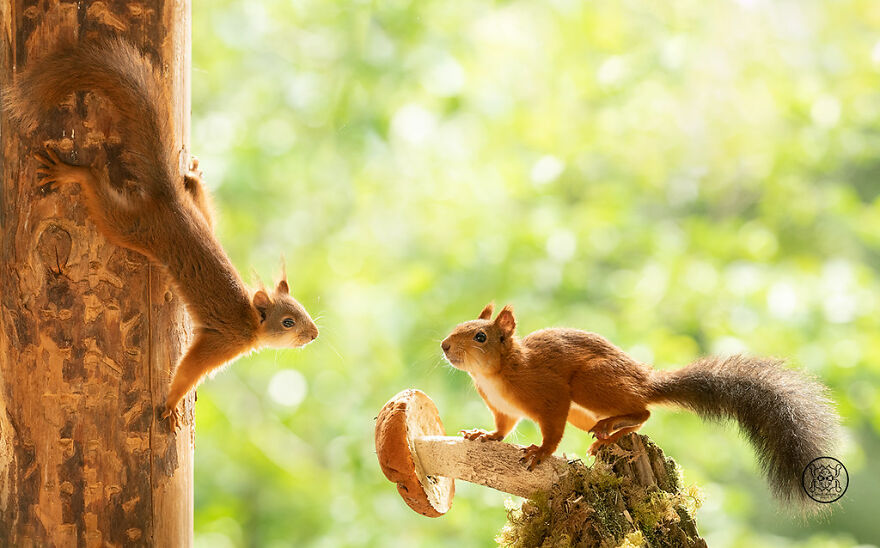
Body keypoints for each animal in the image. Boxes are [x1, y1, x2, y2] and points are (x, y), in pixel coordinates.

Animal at [2, 38, 319, 428]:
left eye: (302, 309)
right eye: (288, 322)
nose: (314, 334)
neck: (250, 321)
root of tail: (170, 199)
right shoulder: (221, 340)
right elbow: (188, 371)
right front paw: (170, 403)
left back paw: (193, 176)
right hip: (135, 228)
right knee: (101, 194)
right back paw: (76, 173)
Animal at [441, 302, 841, 507]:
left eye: (480, 336)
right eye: (458, 325)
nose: (444, 346)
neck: (496, 375)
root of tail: (646, 380)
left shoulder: (551, 395)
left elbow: (551, 429)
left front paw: (540, 452)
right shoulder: (502, 408)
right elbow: (502, 428)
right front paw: (483, 436)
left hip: (590, 383)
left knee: (644, 410)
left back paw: (612, 432)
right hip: (585, 408)